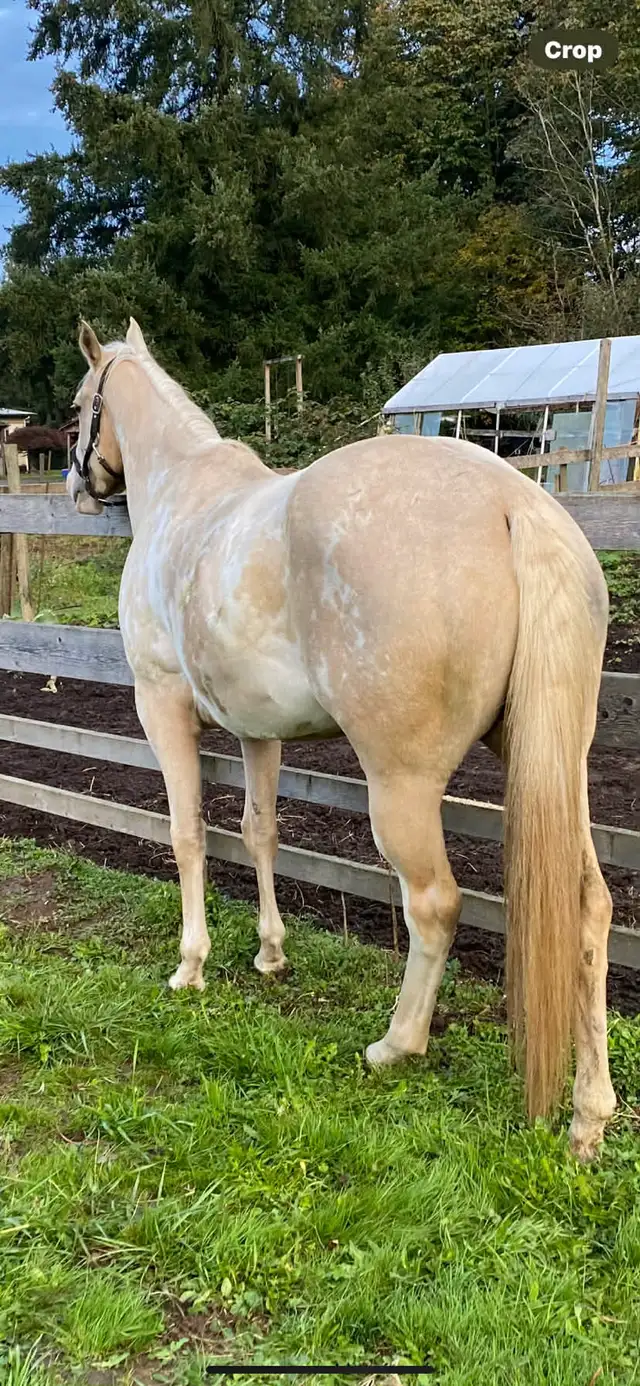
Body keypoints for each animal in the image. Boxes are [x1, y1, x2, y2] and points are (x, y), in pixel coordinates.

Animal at [67, 317, 616, 1161]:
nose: (79, 485)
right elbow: (259, 832)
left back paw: (395, 1045)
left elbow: (188, 834)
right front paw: (269, 954)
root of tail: (513, 502)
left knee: (435, 904)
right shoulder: (258, 730)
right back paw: (590, 1117)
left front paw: (191, 967)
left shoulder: (160, 706)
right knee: (589, 908)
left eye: (78, 408)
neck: (183, 494)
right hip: (554, 763)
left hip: (402, 785)